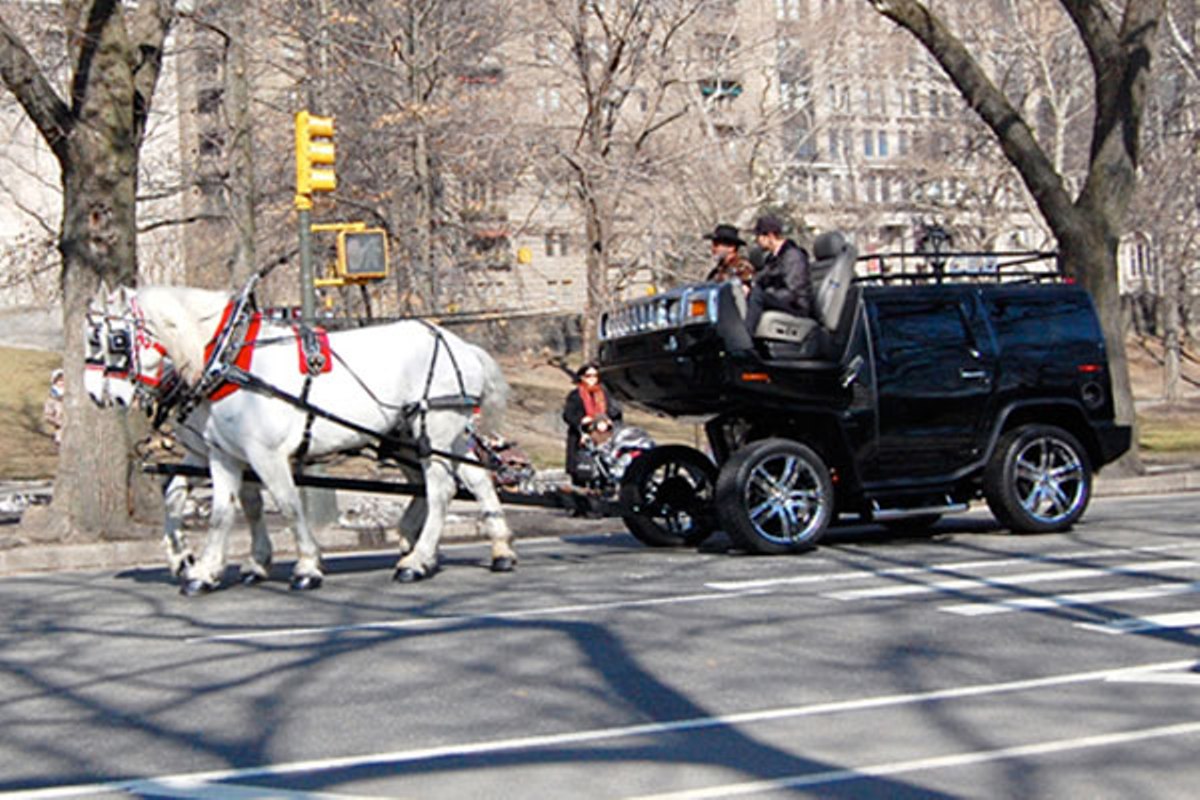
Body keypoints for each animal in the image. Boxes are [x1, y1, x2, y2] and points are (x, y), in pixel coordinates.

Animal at [83, 284, 516, 592]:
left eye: (115, 339)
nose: (99, 395)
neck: (228, 359)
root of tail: (461, 345)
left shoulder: (263, 454)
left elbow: (288, 505)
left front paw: (306, 566)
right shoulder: (222, 454)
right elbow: (223, 509)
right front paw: (203, 568)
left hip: (434, 426)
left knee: (440, 488)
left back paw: (418, 559)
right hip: (422, 435)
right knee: (471, 479)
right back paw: (496, 549)